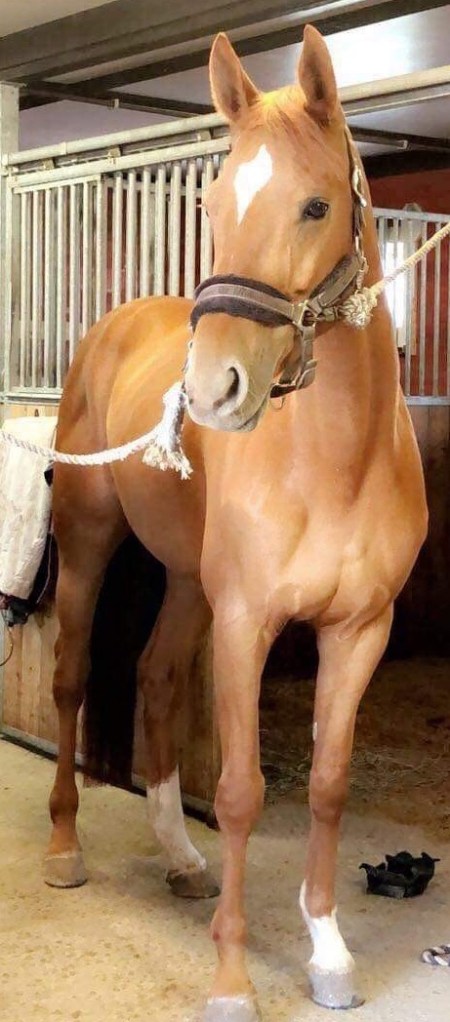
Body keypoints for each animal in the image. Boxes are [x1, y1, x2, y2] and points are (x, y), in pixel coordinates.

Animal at [44, 24, 427, 1020]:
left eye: (315, 204)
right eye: (213, 201)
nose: (213, 390)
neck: (336, 461)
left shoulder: (357, 631)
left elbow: (328, 784)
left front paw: (328, 950)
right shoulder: (249, 624)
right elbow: (245, 791)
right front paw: (231, 977)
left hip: (187, 582)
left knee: (154, 678)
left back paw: (181, 857)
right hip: (90, 550)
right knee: (70, 681)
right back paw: (64, 850)